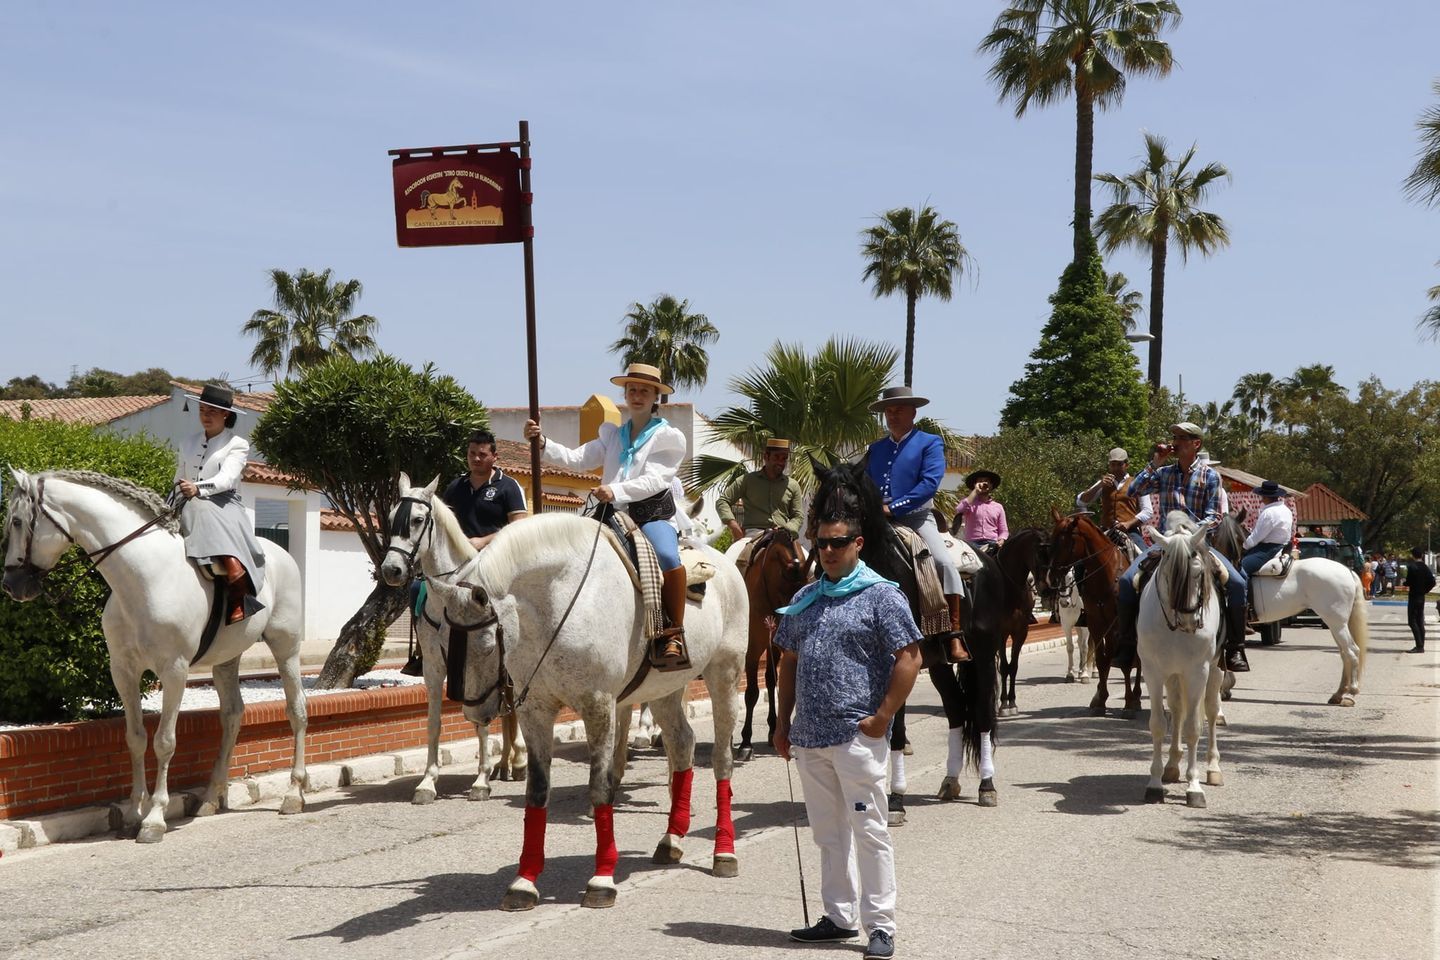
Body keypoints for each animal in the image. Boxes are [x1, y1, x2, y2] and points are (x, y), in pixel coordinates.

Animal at [1, 472, 306, 840]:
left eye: (18, 521)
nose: (11, 585)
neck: (143, 579)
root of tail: (280, 553)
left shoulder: (174, 671)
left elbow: (164, 741)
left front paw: (154, 818)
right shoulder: (123, 671)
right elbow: (135, 739)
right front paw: (134, 813)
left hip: (286, 648)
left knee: (296, 710)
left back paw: (294, 794)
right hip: (226, 659)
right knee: (232, 715)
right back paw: (209, 798)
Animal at [377, 474, 524, 805]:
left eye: (418, 519)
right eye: (390, 518)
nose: (392, 569)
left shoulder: (476, 664)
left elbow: (481, 722)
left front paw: (481, 781)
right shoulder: (433, 666)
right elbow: (434, 722)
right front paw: (427, 782)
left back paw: (519, 759)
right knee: (507, 707)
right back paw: (508, 763)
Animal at [449, 515, 748, 915]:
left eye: (484, 644)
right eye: (446, 642)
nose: (475, 712)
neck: (559, 602)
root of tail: (725, 564)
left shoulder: (599, 706)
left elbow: (601, 786)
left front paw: (602, 879)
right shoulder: (535, 710)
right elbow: (537, 791)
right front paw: (524, 882)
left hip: (725, 673)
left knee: (721, 760)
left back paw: (724, 853)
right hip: (664, 690)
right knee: (682, 744)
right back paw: (671, 840)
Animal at [812, 460, 1002, 817]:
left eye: (854, 505)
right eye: (819, 503)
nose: (832, 542)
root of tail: (986, 561)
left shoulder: (898, 659)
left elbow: (895, 729)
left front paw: (896, 800)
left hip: (983, 655)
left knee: (982, 715)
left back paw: (987, 786)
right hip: (939, 662)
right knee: (957, 709)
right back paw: (950, 780)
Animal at [1042, 506, 1140, 716]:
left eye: (1066, 543)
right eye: (1051, 542)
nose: (1050, 577)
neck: (1105, 575)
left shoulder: (1117, 624)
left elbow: (1121, 660)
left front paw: (1128, 702)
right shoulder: (1095, 622)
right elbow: (1101, 657)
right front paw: (1100, 698)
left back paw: (1136, 696)